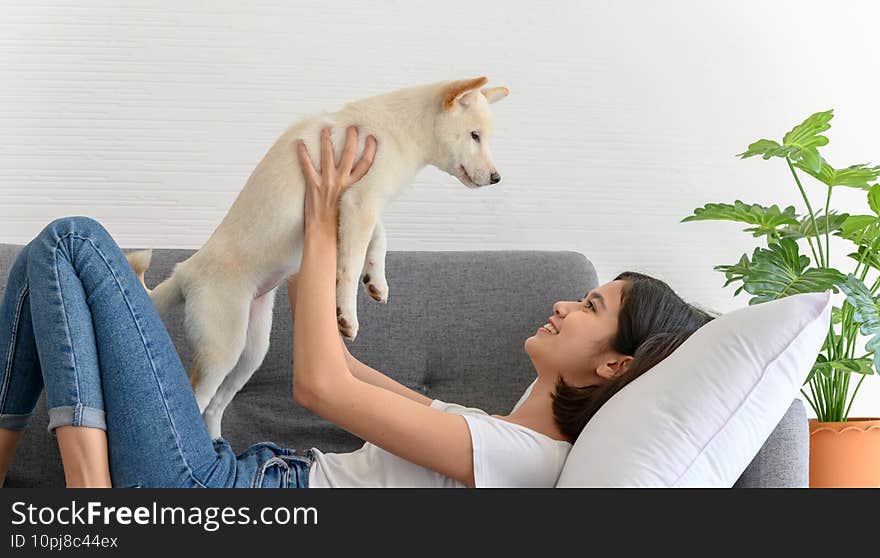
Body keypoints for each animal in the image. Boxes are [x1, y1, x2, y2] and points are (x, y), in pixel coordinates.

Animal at [124, 77, 508, 438]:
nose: (496, 178)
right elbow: (349, 267)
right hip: (222, 348)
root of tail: (185, 272)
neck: (397, 130)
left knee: (216, 406)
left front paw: (377, 281)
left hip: (251, 351)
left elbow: (380, 238)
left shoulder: (356, 206)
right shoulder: (359, 204)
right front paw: (346, 315)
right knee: (198, 400)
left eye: (485, 137)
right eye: (475, 135)